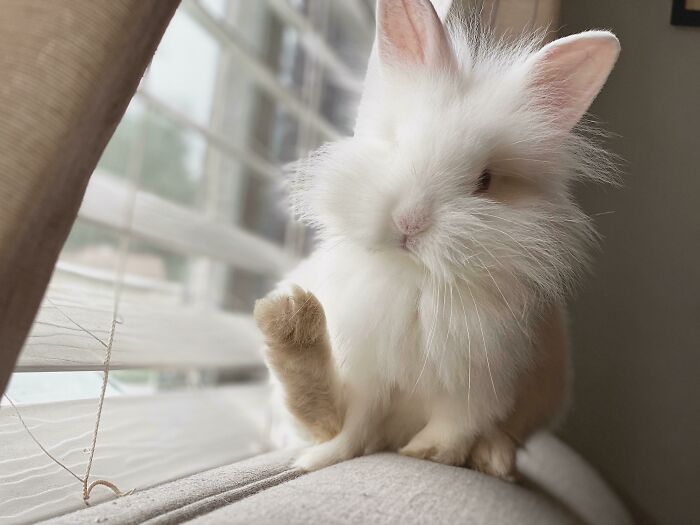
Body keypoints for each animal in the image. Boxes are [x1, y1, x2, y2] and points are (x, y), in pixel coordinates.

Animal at [254, 0, 620, 480]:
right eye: (397, 144)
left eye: (485, 180)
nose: (409, 222)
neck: (420, 282)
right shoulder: (370, 371)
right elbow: (356, 425)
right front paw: (322, 460)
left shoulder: (480, 385)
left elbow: (456, 425)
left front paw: (425, 454)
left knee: (508, 435)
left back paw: (493, 460)